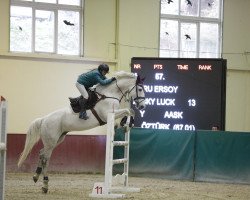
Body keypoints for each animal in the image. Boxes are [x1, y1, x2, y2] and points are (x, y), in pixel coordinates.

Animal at [17, 71, 146, 193]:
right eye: (140, 89)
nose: (143, 106)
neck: (110, 94)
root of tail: (44, 119)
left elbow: (129, 112)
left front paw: (127, 124)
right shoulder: (108, 115)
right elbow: (129, 110)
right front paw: (127, 124)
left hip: (58, 139)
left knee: (41, 153)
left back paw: (36, 176)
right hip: (51, 141)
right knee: (45, 158)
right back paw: (45, 185)